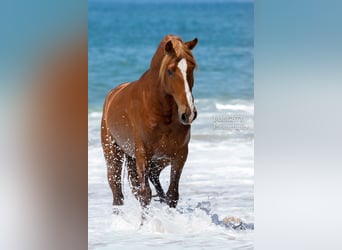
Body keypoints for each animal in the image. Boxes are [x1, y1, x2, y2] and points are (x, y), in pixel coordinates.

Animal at [101, 34, 198, 208]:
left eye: (191, 68)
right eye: (170, 71)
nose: (188, 114)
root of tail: (112, 95)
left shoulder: (180, 154)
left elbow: (172, 194)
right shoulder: (142, 154)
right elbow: (145, 194)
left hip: (157, 160)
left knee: (153, 179)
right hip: (113, 157)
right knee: (117, 195)